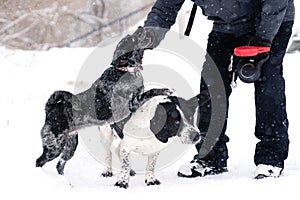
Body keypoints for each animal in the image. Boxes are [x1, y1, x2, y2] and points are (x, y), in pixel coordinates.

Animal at [35, 34, 171, 175]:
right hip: (54, 147)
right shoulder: (132, 103)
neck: (124, 70)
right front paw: (164, 91)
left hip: (70, 145)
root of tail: (50, 109)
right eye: (133, 39)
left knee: (59, 165)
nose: (144, 31)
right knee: (39, 161)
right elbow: (151, 91)